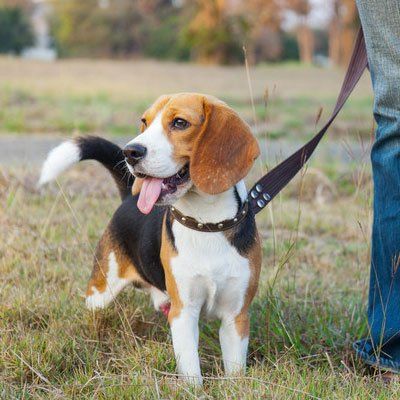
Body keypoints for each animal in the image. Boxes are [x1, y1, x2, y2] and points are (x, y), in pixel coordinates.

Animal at [39, 93, 260, 384]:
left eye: (180, 123)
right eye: (144, 121)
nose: (130, 152)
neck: (206, 224)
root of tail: (129, 198)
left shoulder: (236, 317)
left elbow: (235, 369)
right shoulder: (183, 312)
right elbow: (191, 369)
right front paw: (194, 389)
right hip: (101, 291)